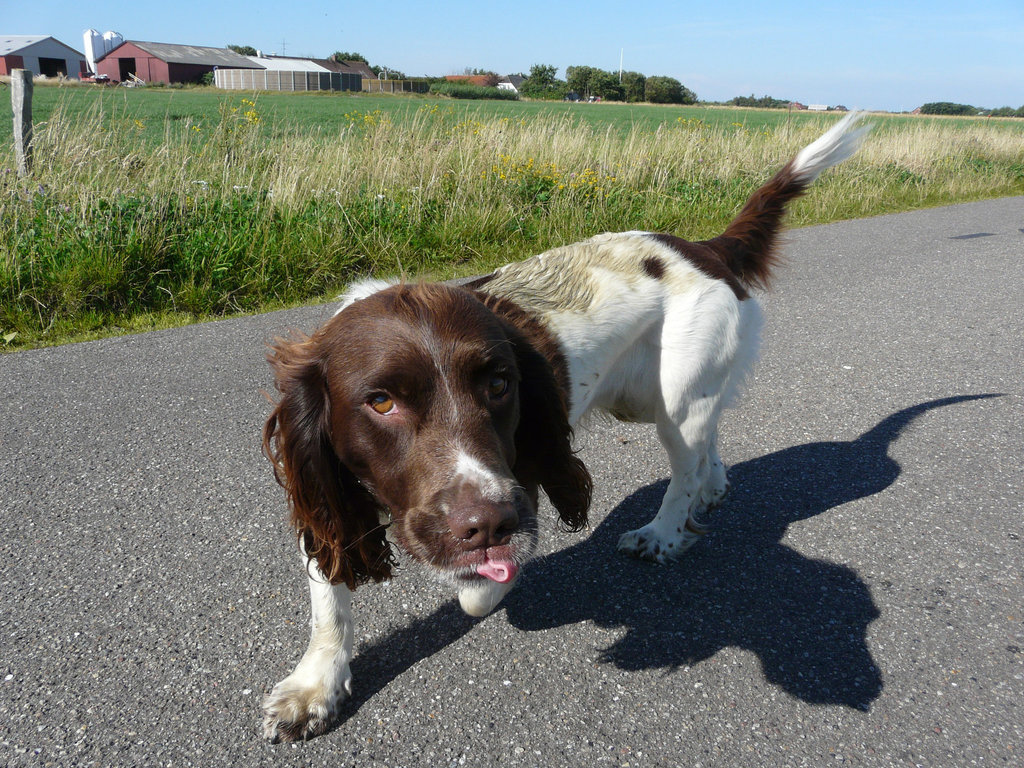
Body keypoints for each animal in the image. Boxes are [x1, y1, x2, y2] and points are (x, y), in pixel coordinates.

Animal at [260, 111, 868, 741]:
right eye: (380, 402)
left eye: (500, 385)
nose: (489, 523)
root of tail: (705, 247)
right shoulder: (321, 489)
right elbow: (328, 600)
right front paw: (315, 688)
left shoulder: (520, 482)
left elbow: (477, 592)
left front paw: (485, 582)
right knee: (709, 445)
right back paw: (713, 488)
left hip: (674, 400)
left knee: (685, 467)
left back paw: (664, 532)